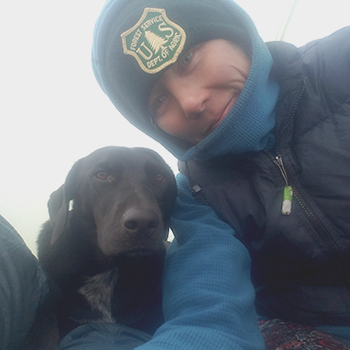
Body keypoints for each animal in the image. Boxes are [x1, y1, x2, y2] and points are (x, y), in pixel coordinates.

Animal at [20, 146, 176, 348]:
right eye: (101, 175)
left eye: (159, 177)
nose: (142, 223)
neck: (107, 271)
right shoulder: (50, 308)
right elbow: (45, 327)